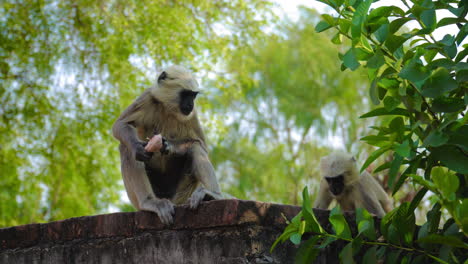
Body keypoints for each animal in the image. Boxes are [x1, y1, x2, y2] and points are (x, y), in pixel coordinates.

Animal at [113, 66, 223, 225]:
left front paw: (168, 145)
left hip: (182, 192)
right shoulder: (148, 97)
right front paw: (138, 148)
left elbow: (200, 144)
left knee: (195, 148)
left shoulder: (192, 113)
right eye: (186, 94)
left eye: (193, 96)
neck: (169, 107)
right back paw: (149, 201)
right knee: (125, 148)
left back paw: (213, 195)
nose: (190, 104)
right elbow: (120, 125)